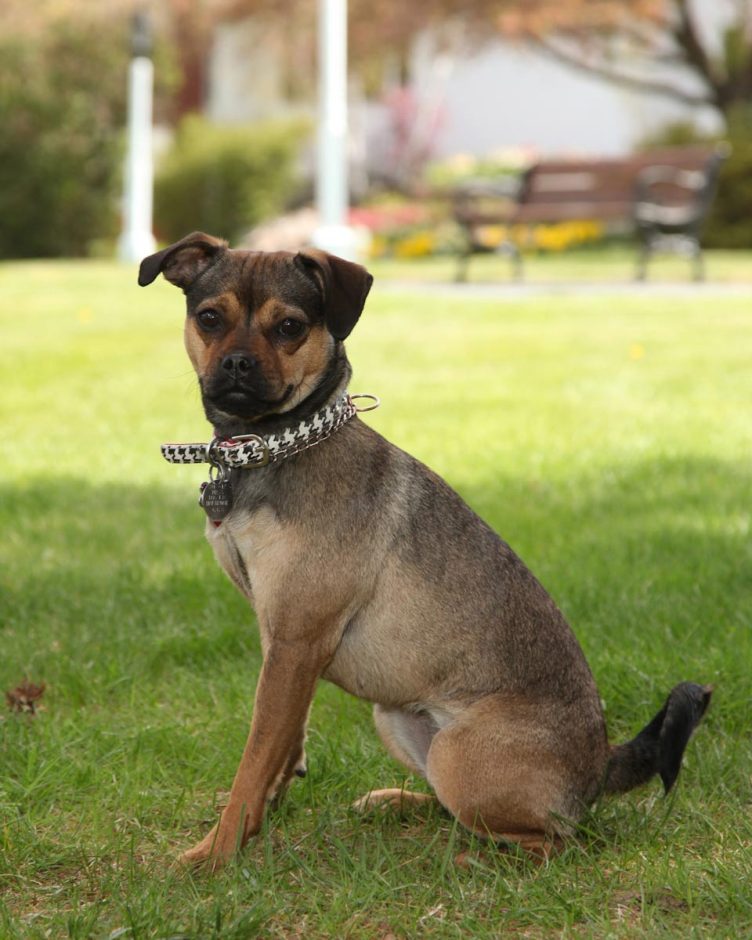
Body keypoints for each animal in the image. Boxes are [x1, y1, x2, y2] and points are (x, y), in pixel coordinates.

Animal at [139, 232, 711, 869]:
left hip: (459, 755)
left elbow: (255, 757)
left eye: (289, 327)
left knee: (554, 840)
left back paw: (474, 863)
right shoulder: (282, 640)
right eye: (209, 318)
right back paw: (397, 804)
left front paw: (215, 854)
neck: (275, 446)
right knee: (456, 810)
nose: (237, 363)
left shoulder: (295, 641)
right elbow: (285, 743)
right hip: (397, 720)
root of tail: (599, 763)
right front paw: (264, 815)